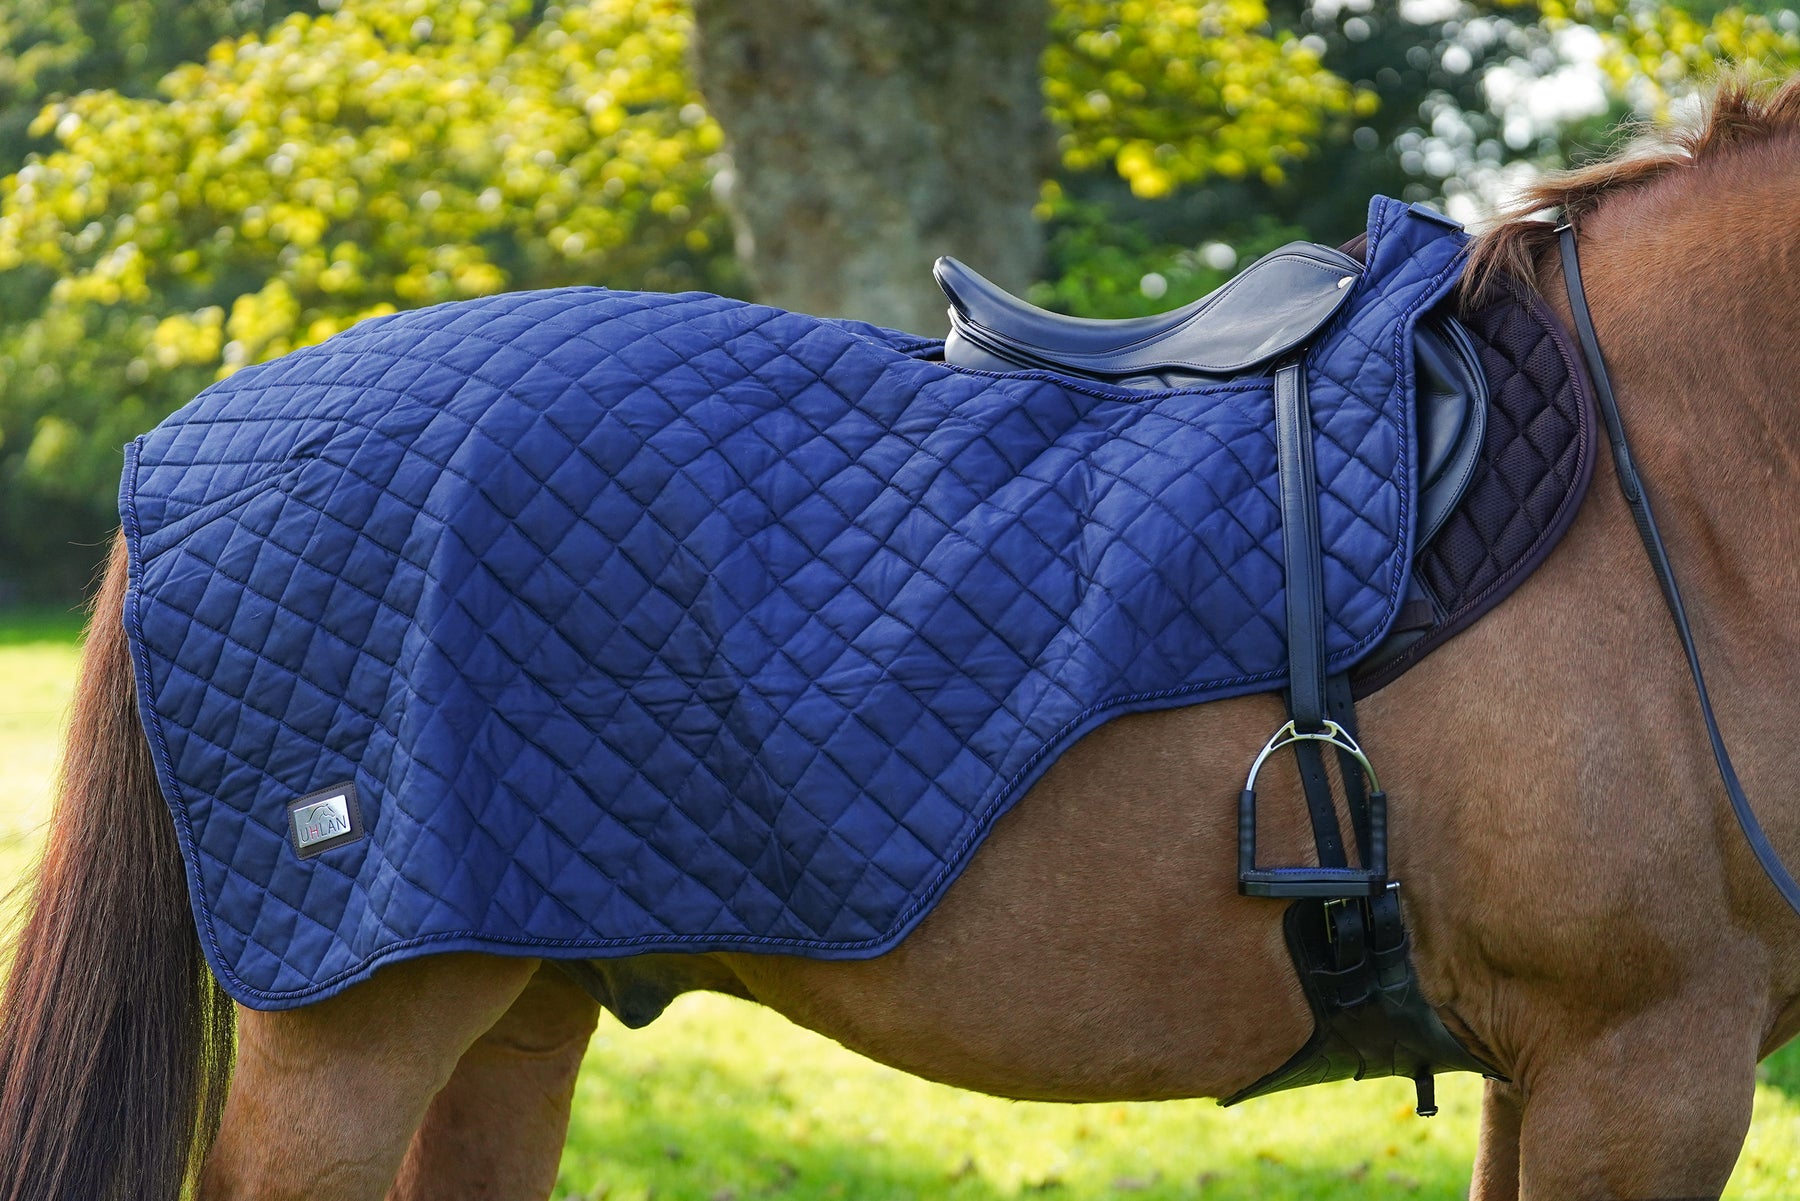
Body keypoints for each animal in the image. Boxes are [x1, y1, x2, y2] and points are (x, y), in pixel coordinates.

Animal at [3, 73, 1800, 1201]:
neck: (1676, 472)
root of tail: (200, 445)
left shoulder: (1550, 1066)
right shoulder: (1645, 1065)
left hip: (511, 1004)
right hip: (354, 1034)